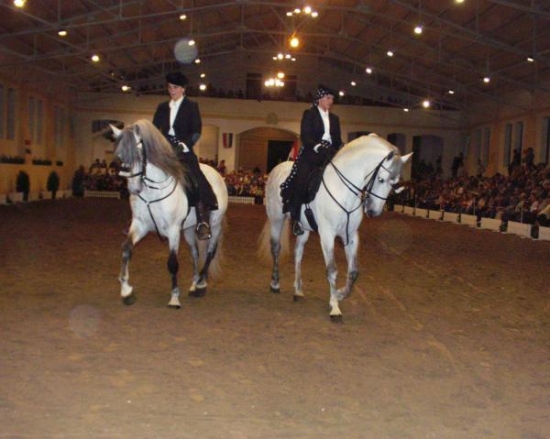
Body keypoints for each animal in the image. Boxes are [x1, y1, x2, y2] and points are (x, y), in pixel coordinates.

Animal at [111, 119, 228, 308]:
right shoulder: (140, 225)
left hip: (215, 224)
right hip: (188, 230)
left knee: (210, 252)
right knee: (195, 253)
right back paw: (194, 285)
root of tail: (217, 174)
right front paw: (126, 291)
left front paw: (174, 298)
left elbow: (173, 263)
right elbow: (127, 249)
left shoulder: (173, 230)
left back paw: (201, 285)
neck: (152, 191)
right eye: (120, 157)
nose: (134, 189)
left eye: (139, 154)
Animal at [259, 133, 412, 322]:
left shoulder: (351, 236)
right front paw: (335, 308)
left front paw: (339, 294)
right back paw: (275, 283)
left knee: (298, 254)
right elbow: (332, 270)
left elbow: (353, 272)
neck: (343, 190)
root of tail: (277, 168)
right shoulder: (327, 235)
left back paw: (298, 290)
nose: (374, 211)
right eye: (381, 179)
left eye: (395, 183)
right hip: (276, 219)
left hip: (304, 229)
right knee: (275, 248)